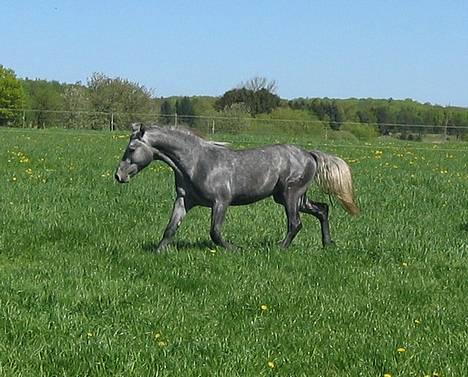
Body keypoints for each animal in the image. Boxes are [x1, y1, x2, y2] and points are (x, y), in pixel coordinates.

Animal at [114, 123, 358, 251]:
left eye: (132, 148)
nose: (119, 175)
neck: (197, 163)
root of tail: (309, 154)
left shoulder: (221, 202)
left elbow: (215, 232)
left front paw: (235, 249)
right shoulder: (184, 200)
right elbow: (171, 227)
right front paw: (159, 252)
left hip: (291, 195)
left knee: (295, 223)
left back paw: (279, 248)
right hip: (292, 197)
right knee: (322, 209)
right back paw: (327, 244)